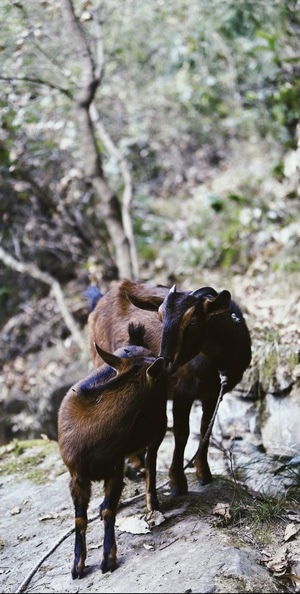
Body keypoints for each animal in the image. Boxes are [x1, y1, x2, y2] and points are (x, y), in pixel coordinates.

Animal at [57, 322, 168, 576]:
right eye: (159, 366)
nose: (166, 360)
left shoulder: (115, 468)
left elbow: (110, 511)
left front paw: (108, 559)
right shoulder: (76, 476)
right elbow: (80, 519)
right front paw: (77, 565)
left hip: (160, 425)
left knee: (151, 461)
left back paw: (153, 503)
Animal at [84, 278, 251, 494]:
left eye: (192, 322)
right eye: (161, 318)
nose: (163, 362)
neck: (217, 364)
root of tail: (99, 301)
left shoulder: (212, 394)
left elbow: (206, 427)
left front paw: (204, 475)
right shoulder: (183, 391)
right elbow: (182, 433)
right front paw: (177, 483)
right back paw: (135, 465)